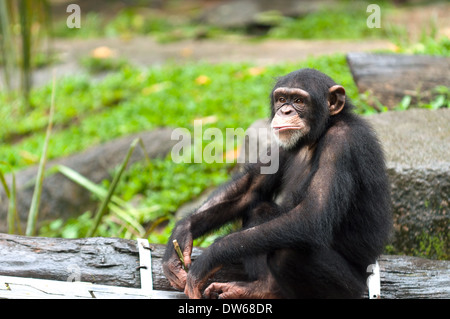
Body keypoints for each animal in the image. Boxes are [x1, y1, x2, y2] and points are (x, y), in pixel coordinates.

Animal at [162, 68, 390, 300]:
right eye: (281, 99)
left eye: (299, 100)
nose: (286, 111)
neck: (316, 136)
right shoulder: (281, 144)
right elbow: (249, 189)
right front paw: (180, 235)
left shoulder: (341, 143)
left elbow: (311, 215)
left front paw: (211, 257)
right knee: (259, 210)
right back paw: (258, 288)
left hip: (349, 288)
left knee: (288, 251)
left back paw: (266, 288)